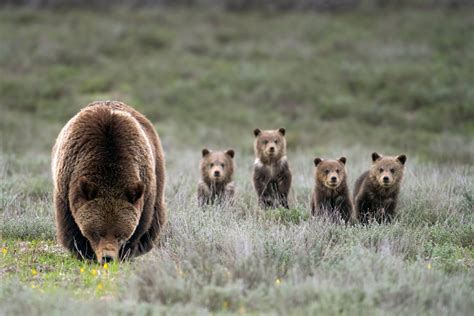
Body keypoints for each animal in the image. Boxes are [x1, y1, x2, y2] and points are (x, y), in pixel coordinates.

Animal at [51, 101, 167, 264]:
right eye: (98, 232)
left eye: (120, 234)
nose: (108, 257)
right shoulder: (67, 185)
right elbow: (70, 225)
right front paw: (84, 253)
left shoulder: (145, 186)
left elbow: (141, 225)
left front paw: (126, 253)